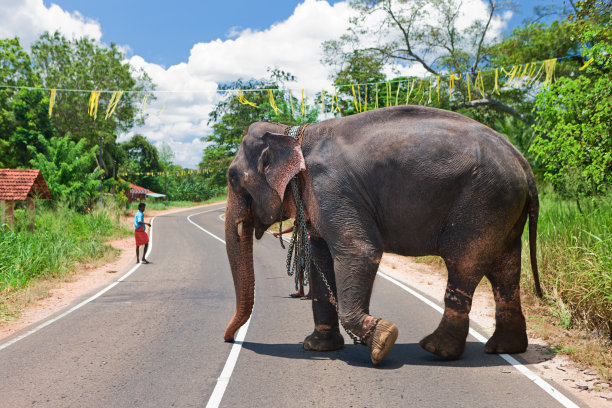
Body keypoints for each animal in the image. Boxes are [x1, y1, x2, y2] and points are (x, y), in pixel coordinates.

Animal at [224, 106, 540, 366]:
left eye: (231, 178)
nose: (229, 339)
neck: (293, 133)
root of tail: (523, 163)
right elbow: (320, 258)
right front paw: (317, 347)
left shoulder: (331, 188)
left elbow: (360, 251)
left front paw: (383, 340)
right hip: (504, 206)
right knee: (505, 268)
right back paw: (503, 348)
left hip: (482, 202)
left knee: (464, 263)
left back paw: (436, 350)